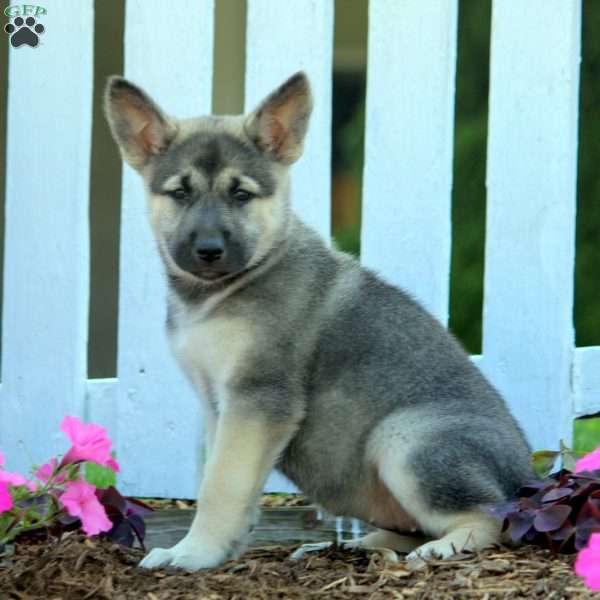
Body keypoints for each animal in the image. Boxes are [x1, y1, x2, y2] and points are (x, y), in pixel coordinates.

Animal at [105, 71, 532, 572]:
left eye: (241, 194)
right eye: (180, 193)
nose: (209, 250)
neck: (227, 288)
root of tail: (531, 480)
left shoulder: (257, 398)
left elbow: (221, 485)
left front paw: (193, 552)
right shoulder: (221, 407)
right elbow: (224, 478)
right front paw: (221, 547)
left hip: (404, 438)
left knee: (489, 518)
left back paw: (443, 546)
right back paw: (356, 545)